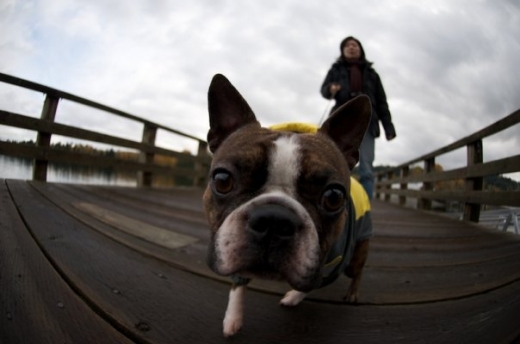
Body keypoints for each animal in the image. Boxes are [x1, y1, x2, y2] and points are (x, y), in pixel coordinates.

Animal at [203, 74, 374, 336]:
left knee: (357, 272)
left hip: (355, 256)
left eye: (334, 197)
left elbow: (309, 283)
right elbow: (238, 284)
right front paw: (232, 319)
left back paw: (353, 293)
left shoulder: (326, 265)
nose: (274, 220)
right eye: (222, 180)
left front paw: (294, 296)